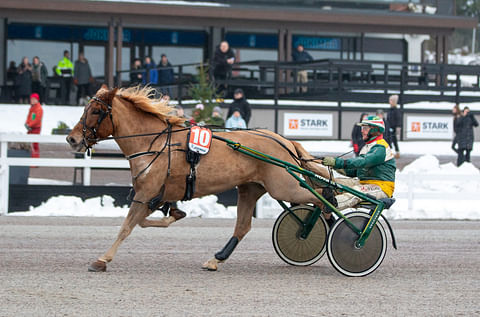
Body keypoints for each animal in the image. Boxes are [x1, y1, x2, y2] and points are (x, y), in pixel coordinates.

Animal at [65, 85, 332, 270]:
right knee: (243, 226)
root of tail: (284, 141)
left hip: (283, 186)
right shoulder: (154, 195)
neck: (154, 143)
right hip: (250, 188)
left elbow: (127, 227)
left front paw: (102, 260)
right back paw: (216, 259)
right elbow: (145, 221)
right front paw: (173, 216)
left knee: (320, 196)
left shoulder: (144, 193)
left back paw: (322, 218)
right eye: (85, 109)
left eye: (96, 110)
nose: (72, 139)